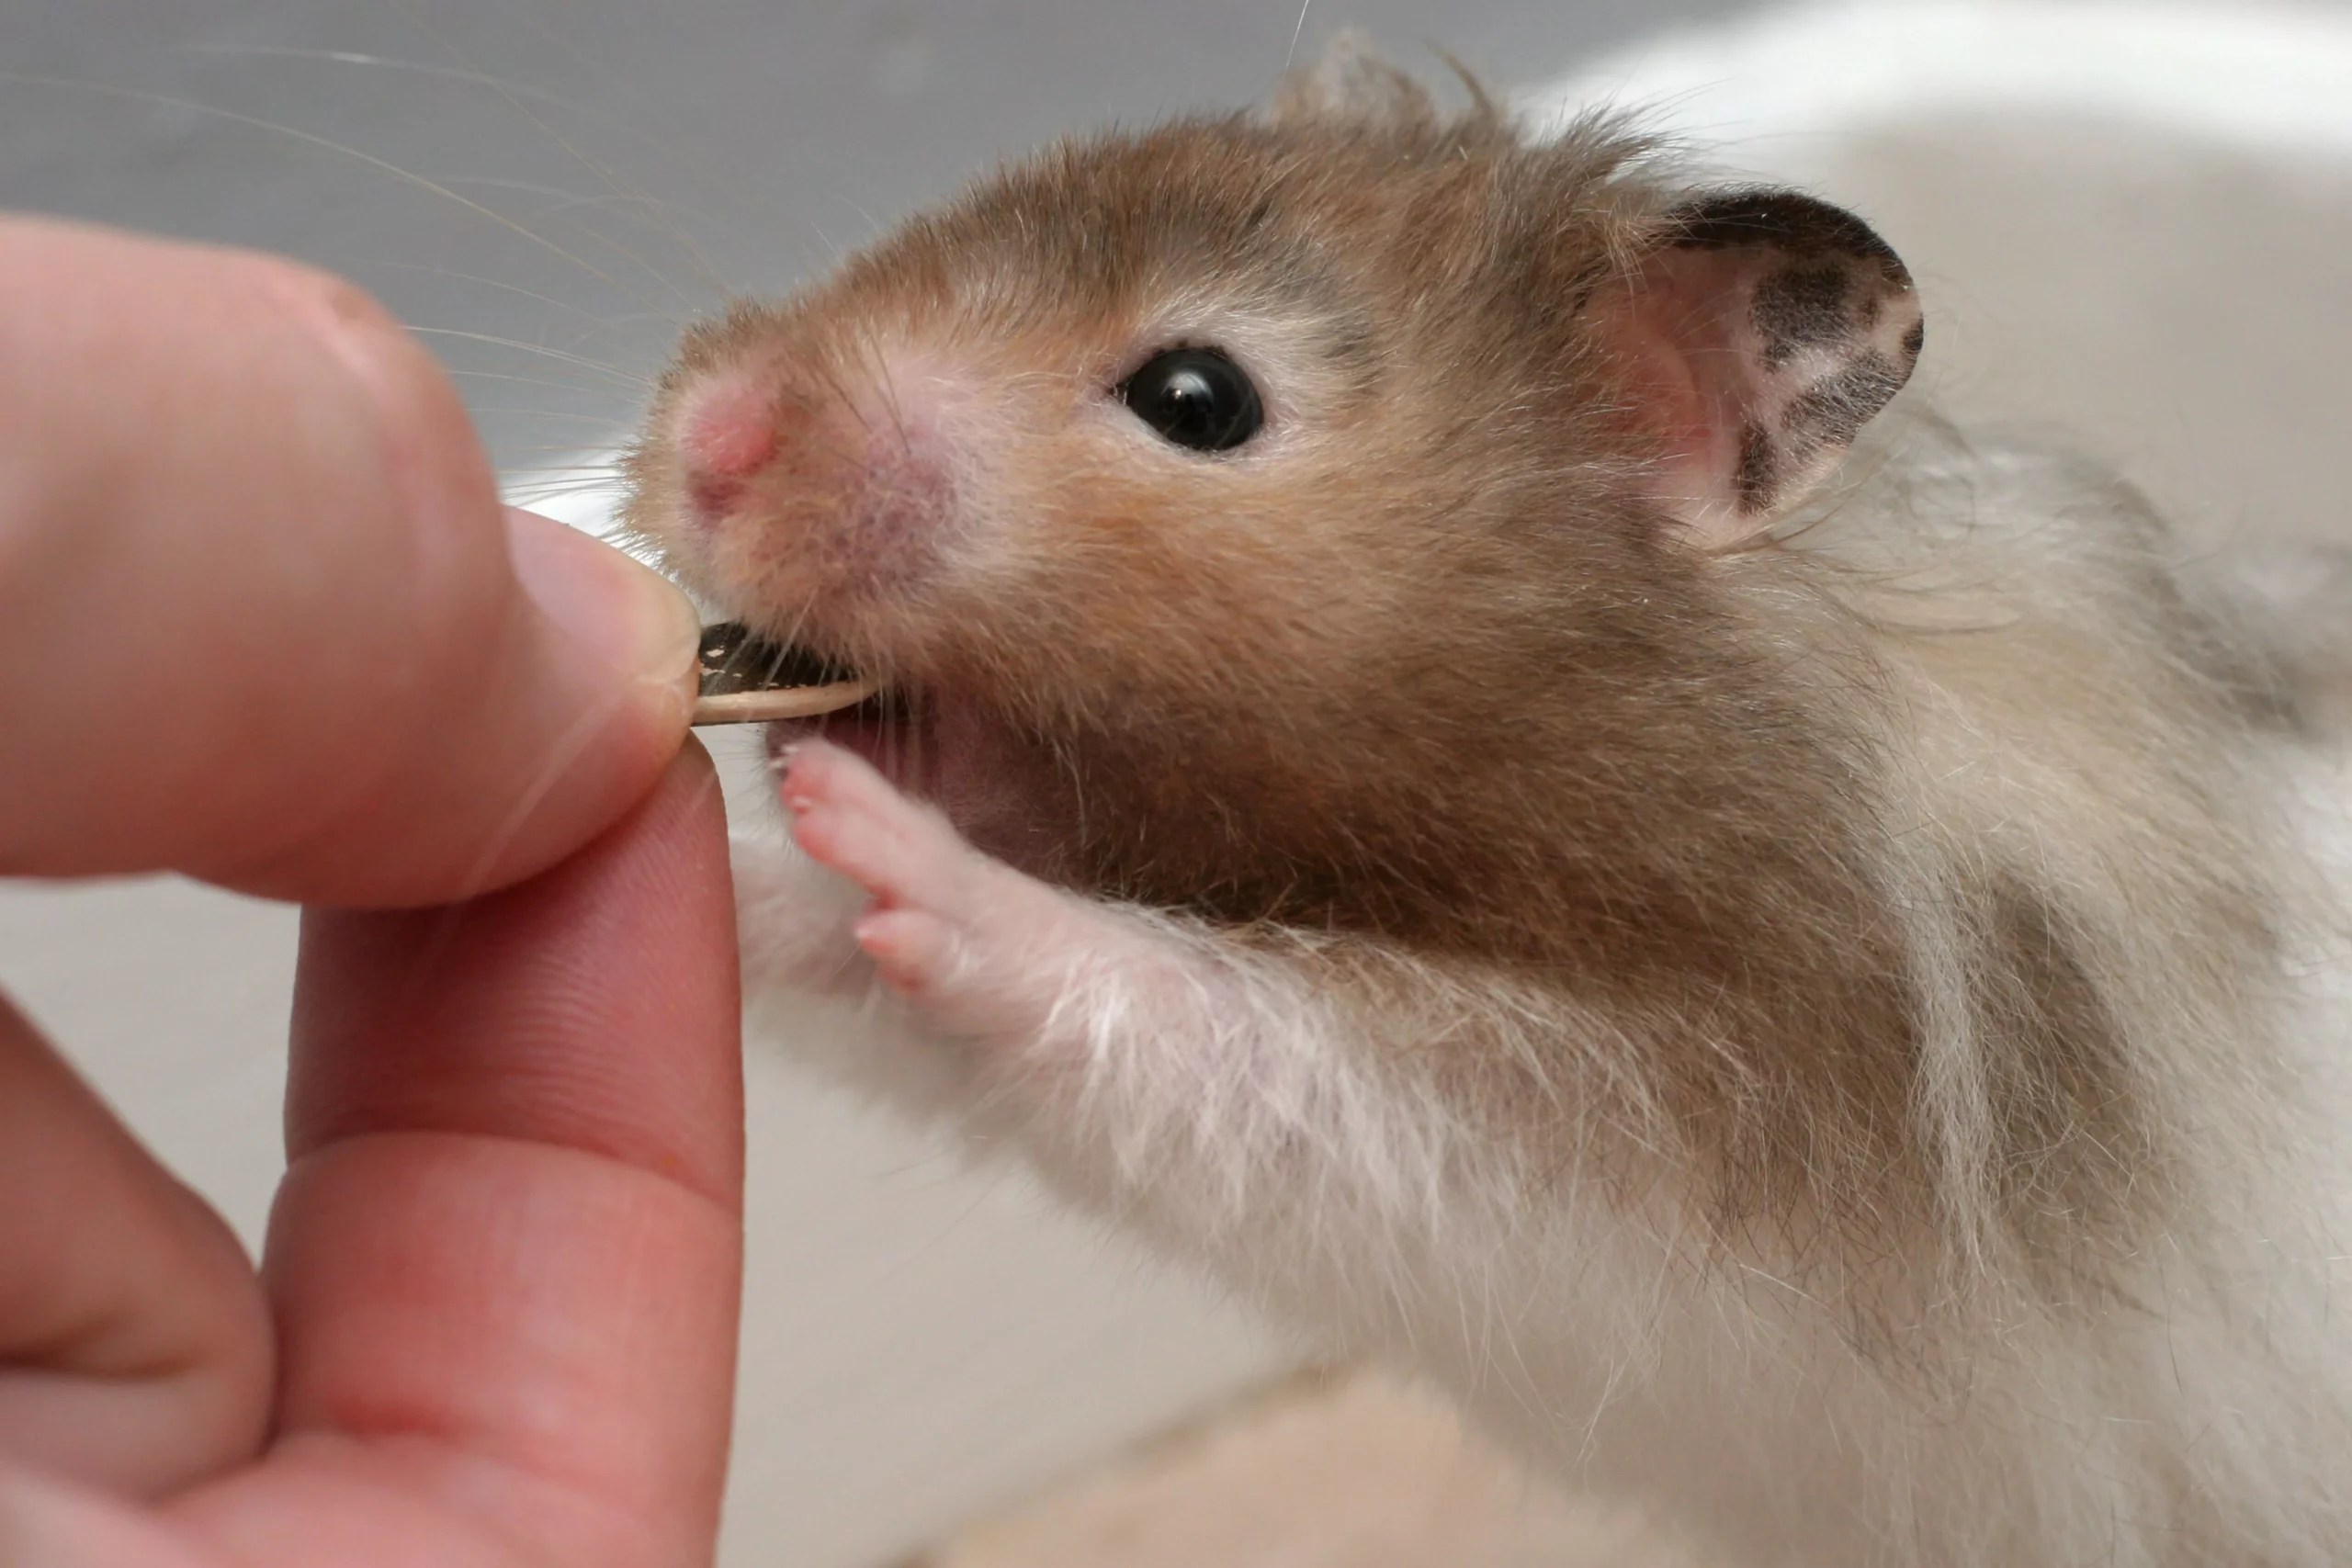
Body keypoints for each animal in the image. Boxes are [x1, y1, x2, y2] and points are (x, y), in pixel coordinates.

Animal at [621, 38, 2352, 1568]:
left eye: (1197, 396)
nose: (703, 436)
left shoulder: (1680, 1147)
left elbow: (1220, 1028)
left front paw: (902, 852)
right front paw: (731, 853)